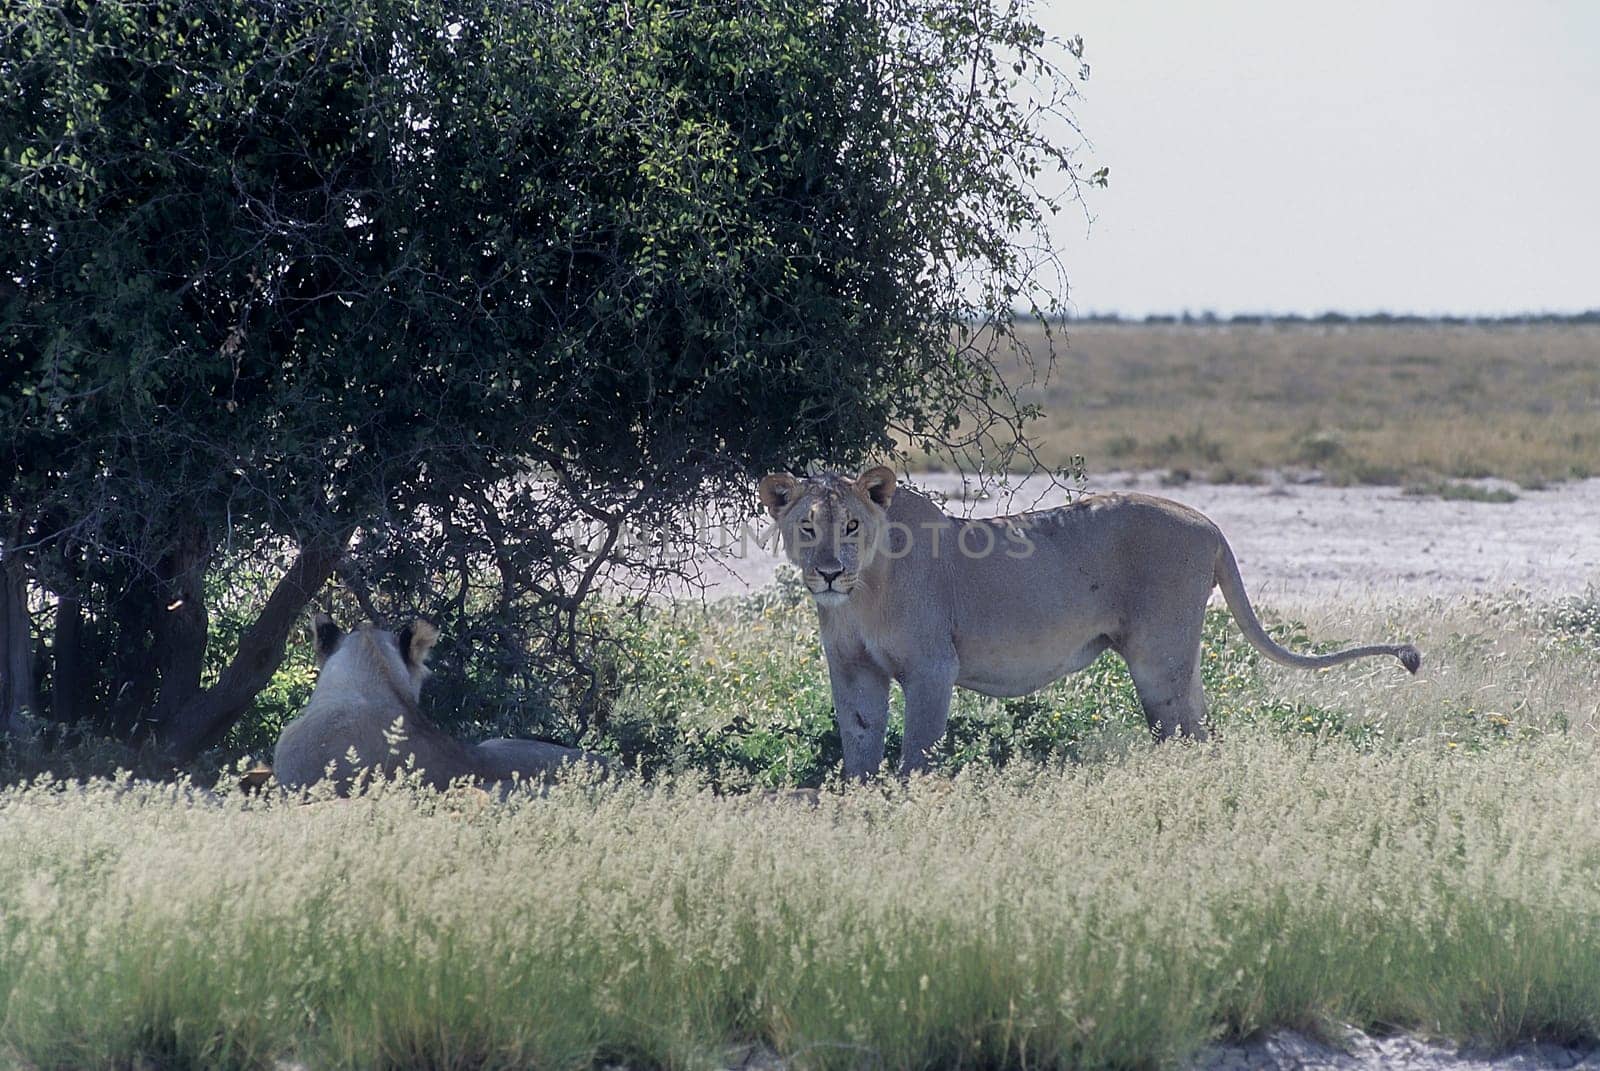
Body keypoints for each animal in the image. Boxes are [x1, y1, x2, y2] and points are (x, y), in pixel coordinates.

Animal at [761, 467, 1427, 778]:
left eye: (851, 525)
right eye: (807, 526)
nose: (827, 572)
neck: (862, 593)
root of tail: (1208, 523)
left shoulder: (932, 667)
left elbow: (917, 748)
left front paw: (907, 798)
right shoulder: (852, 670)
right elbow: (858, 741)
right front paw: (858, 797)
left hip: (1158, 660)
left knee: (1185, 733)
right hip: (1178, 662)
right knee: (1203, 727)